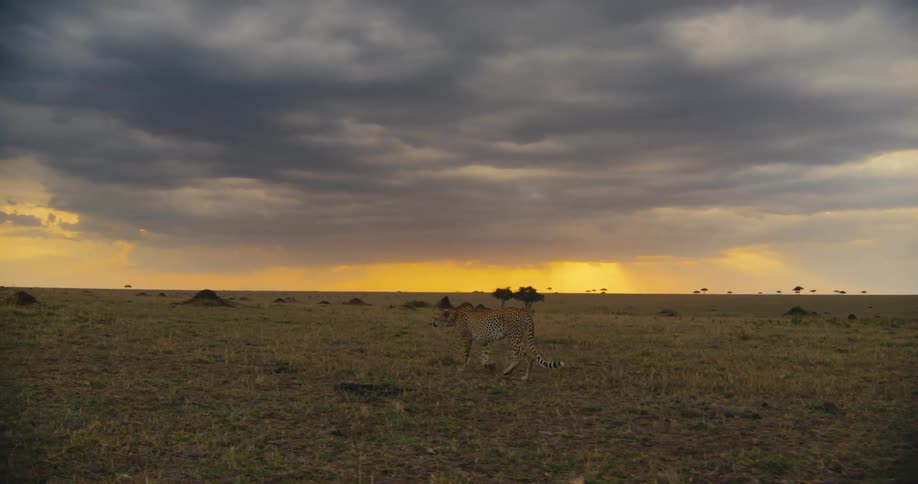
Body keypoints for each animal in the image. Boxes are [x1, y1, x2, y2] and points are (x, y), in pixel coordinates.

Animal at [431, 306, 563, 381]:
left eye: (435, 318)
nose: (432, 323)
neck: (455, 316)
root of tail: (522, 310)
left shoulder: (467, 339)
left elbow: (466, 356)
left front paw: (462, 369)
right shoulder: (485, 342)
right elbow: (484, 359)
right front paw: (491, 366)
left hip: (513, 337)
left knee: (528, 357)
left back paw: (526, 377)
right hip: (516, 338)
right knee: (518, 357)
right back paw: (507, 371)